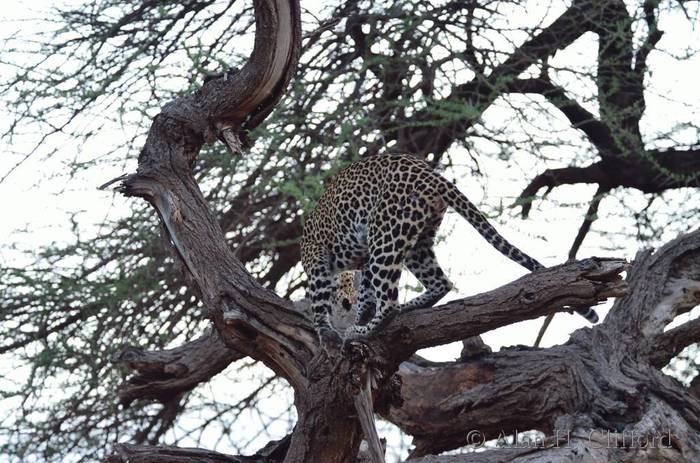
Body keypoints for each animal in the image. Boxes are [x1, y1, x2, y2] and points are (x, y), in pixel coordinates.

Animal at [300, 153, 596, 348]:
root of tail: (429, 172)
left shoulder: (316, 261)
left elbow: (320, 301)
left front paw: (327, 334)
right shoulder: (359, 263)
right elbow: (365, 289)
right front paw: (359, 312)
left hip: (385, 233)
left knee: (390, 303)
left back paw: (364, 331)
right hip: (415, 240)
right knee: (440, 282)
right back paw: (404, 308)